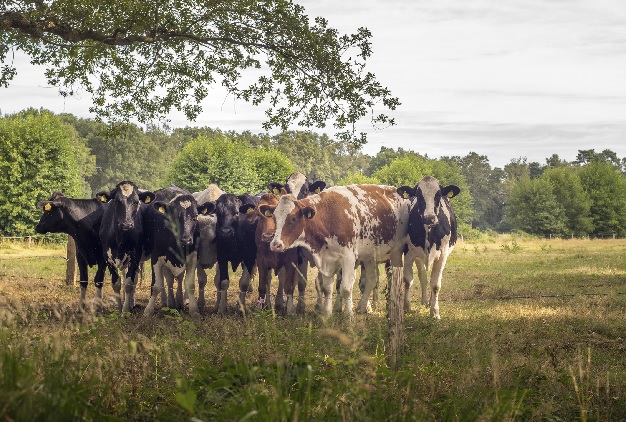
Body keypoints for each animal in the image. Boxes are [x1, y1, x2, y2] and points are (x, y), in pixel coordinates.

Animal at [98, 181, 156, 314]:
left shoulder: (135, 256)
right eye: (117, 201)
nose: (127, 224)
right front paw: (119, 308)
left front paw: (125, 311)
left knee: (133, 279)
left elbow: (129, 283)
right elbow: (116, 283)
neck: (120, 238)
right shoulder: (107, 256)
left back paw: (130, 303)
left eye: (136, 201)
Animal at [141, 185, 210, 316]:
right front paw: (148, 310)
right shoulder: (156, 257)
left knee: (176, 279)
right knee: (166, 280)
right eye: (175, 216)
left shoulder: (193, 257)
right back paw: (167, 302)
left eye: (195, 217)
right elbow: (156, 285)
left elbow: (189, 284)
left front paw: (194, 310)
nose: (186, 239)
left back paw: (178, 302)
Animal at [264, 183, 408, 318]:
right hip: (370, 256)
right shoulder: (326, 259)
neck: (329, 216)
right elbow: (327, 288)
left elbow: (346, 288)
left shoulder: (349, 258)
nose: (275, 244)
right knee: (372, 279)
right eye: (274, 218)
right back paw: (361, 307)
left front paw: (348, 316)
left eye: (293, 219)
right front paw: (327, 314)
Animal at [394, 176, 458, 320]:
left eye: (438, 194)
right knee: (423, 276)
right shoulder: (408, 252)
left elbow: (436, 284)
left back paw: (429, 302)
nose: (429, 218)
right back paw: (424, 301)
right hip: (418, 257)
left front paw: (435, 312)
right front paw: (406, 307)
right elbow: (408, 280)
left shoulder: (443, 255)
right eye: (418, 195)